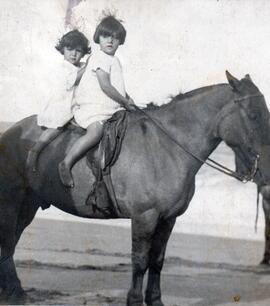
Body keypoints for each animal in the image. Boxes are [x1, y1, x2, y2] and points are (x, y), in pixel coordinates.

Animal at [0, 72, 270, 306]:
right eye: (253, 115)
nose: (264, 172)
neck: (166, 147)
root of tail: (11, 132)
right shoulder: (144, 217)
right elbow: (140, 261)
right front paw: (135, 300)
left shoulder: (167, 219)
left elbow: (157, 260)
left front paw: (155, 300)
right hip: (11, 203)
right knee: (7, 243)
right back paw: (15, 292)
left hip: (28, 206)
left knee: (10, 244)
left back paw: (12, 291)